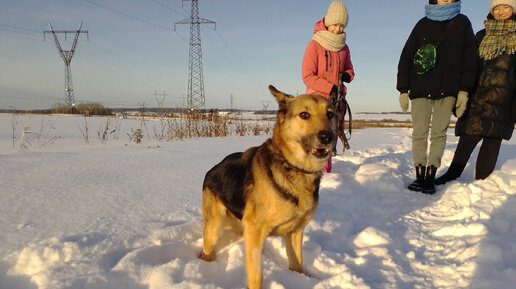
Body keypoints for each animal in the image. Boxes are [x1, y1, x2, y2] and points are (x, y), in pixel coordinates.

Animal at [200, 84, 336, 286]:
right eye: (304, 115)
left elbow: (297, 265)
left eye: (330, 114)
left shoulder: (295, 232)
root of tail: (211, 171)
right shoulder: (255, 229)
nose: (327, 137)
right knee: (207, 252)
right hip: (214, 228)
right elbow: (257, 275)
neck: (293, 166)